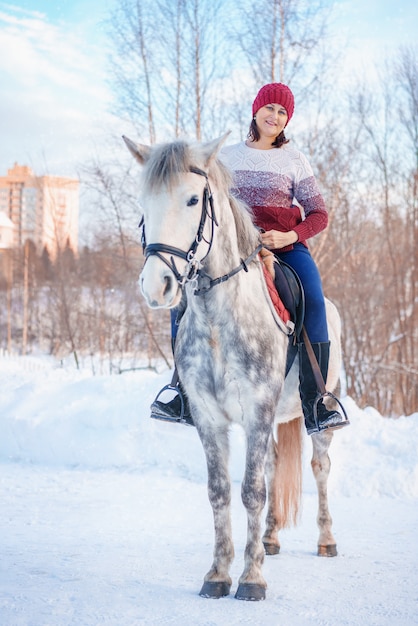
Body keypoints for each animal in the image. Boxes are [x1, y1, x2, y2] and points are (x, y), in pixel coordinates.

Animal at [124, 133, 342, 600]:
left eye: (193, 200)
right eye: (143, 202)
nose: (156, 286)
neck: (218, 321)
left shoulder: (257, 409)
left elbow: (252, 491)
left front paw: (252, 579)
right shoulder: (209, 417)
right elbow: (220, 491)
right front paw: (219, 574)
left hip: (319, 414)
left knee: (319, 468)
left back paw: (326, 540)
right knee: (274, 465)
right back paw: (270, 539)